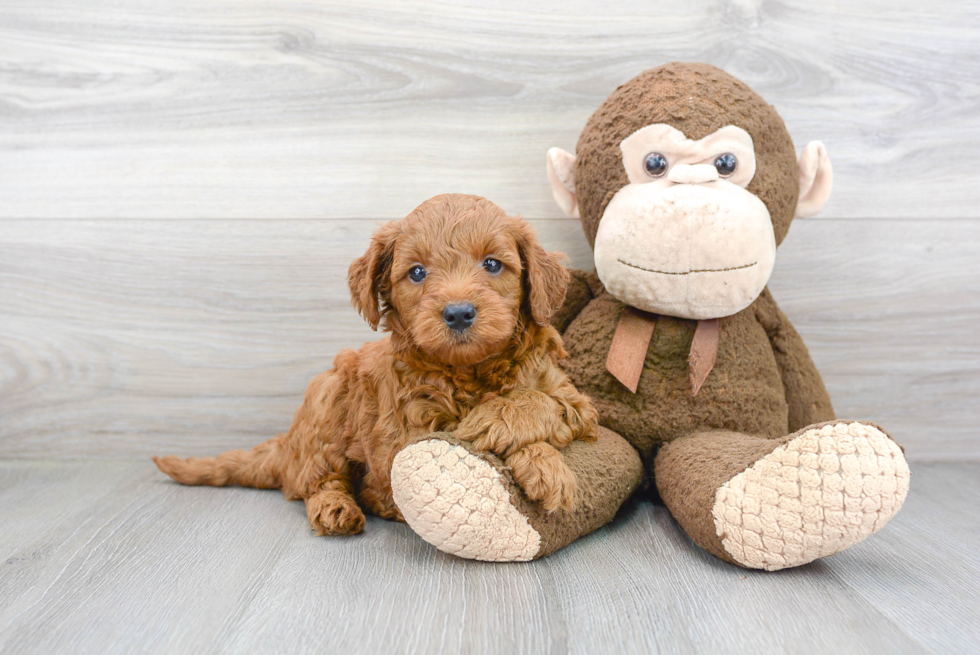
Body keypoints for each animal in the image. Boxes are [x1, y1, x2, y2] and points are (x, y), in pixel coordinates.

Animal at [153, 192, 596, 536]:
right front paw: (535, 458)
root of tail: (288, 444)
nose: (458, 313)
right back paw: (337, 508)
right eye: (417, 272)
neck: (470, 370)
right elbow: (458, 436)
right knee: (320, 480)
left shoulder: (574, 400)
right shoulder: (409, 432)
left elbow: (540, 401)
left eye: (491, 264)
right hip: (326, 402)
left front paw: (530, 450)